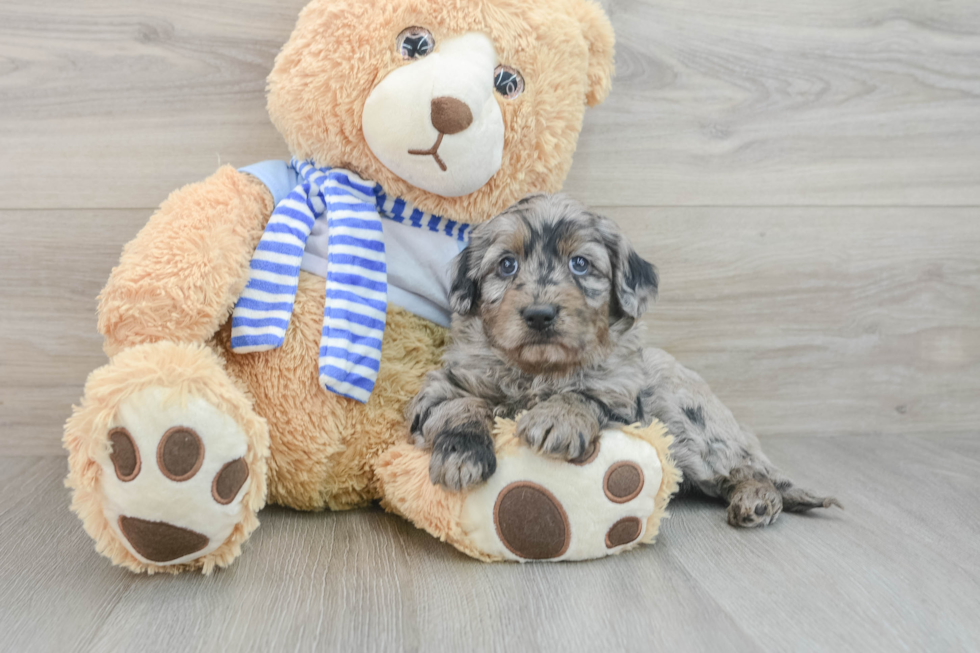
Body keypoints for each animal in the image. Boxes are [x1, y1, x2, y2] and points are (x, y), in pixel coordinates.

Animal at [410, 192, 840, 524]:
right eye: (506, 264)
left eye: (580, 264)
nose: (539, 314)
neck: (540, 370)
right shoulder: (443, 386)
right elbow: (459, 406)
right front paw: (462, 455)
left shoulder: (626, 400)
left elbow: (586, 395)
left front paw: (558, 418)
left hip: (694, 422)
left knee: (743, 471)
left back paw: (758, 498)